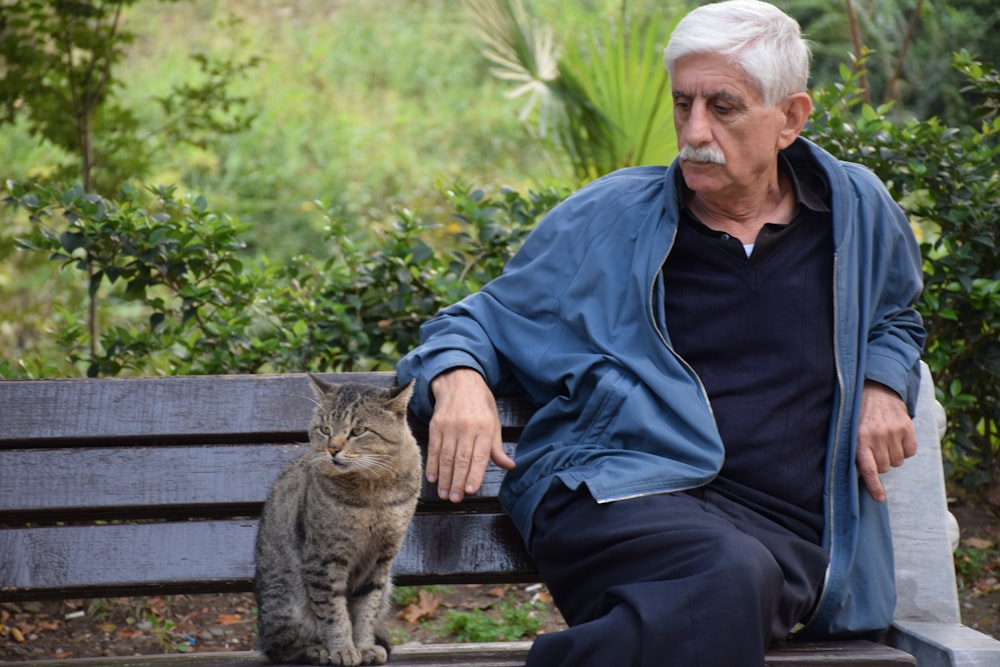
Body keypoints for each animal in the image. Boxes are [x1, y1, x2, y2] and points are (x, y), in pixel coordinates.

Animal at [254, 374, 422, 664]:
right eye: (325, 429)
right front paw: (342, 649)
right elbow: (333, 612)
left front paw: (364, 646)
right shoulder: (324, 558)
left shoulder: (380, 559)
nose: (332, 449)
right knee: (276, 647)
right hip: (286, 598)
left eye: (358, 430)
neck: (373, 492)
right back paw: (315, 650)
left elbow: (366, 611)